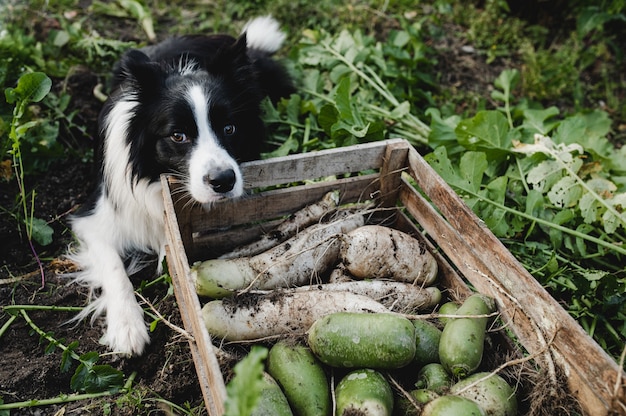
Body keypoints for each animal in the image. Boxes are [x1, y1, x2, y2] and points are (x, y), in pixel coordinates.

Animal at [68, 15, 292, 354]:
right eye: (177, 135)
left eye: (229, 128)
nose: (223, 181)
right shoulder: (94, 218)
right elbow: (113, 267)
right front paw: (127, 327)